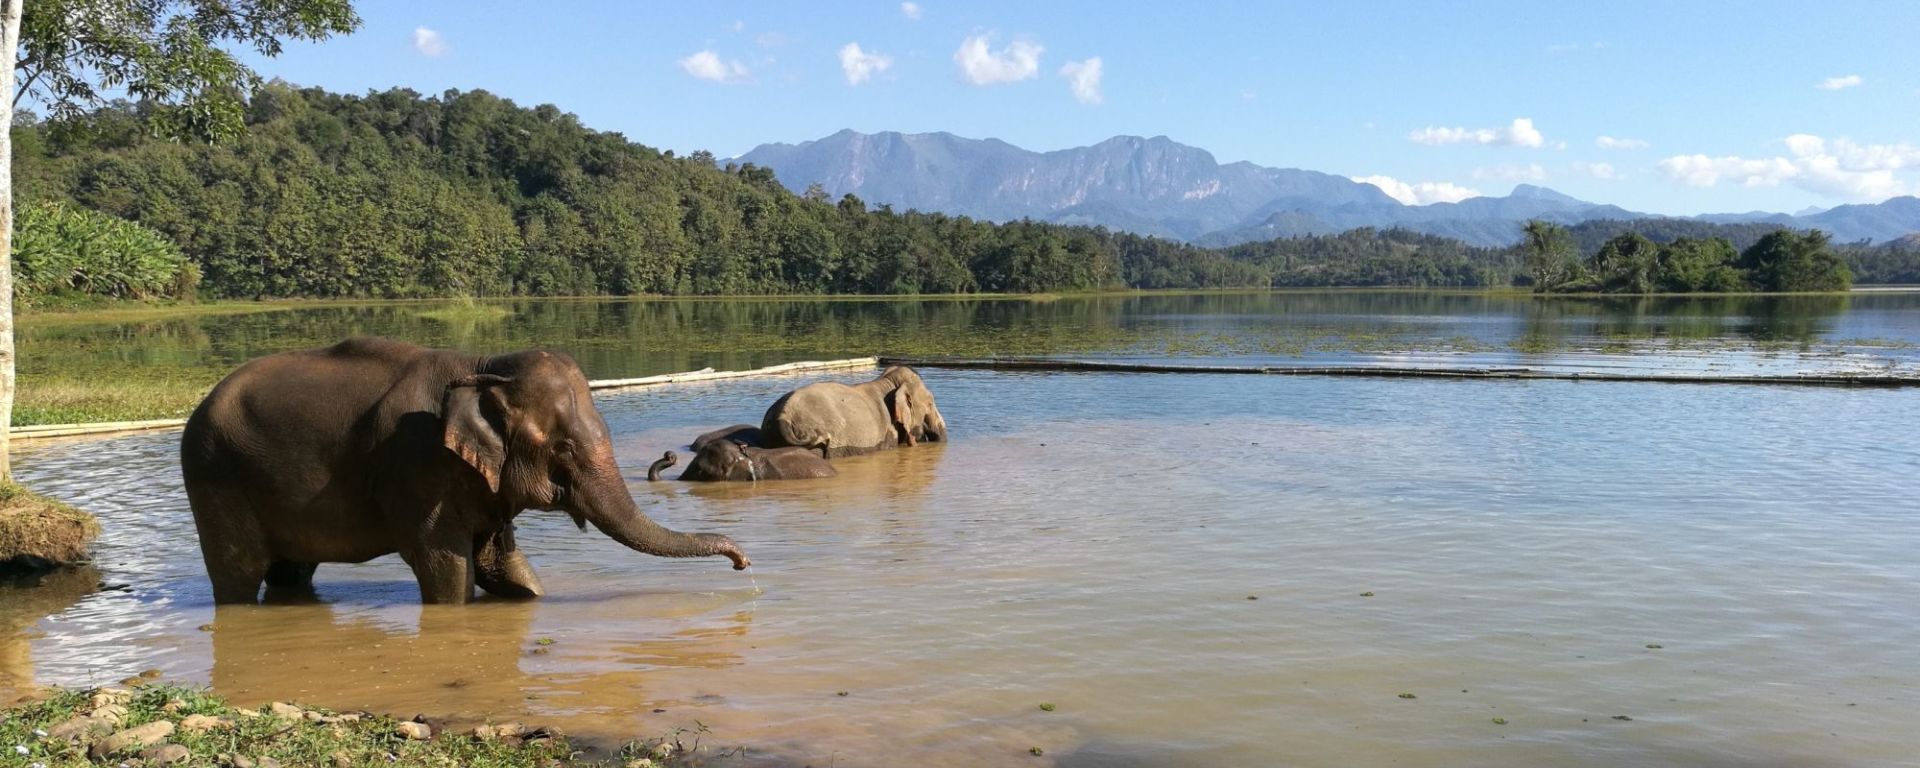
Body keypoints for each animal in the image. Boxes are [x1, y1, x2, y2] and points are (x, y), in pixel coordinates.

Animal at [179, 337, 748, 605]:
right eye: (563, 448)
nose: (743, 563)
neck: (484, 366)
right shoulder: (416, 468)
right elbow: (447, 570)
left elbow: (504, 565)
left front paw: (528, 594)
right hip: (214, 477)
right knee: (236, 572)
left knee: (290, 572)